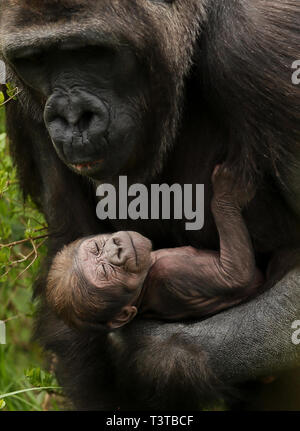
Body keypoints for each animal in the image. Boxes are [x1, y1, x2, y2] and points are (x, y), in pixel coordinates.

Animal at [45, 165, 264, 330]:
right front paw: (225, 194)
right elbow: (237, 275)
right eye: (106, 271)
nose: (116, 250)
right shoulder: (171, 272)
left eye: (97, 247)